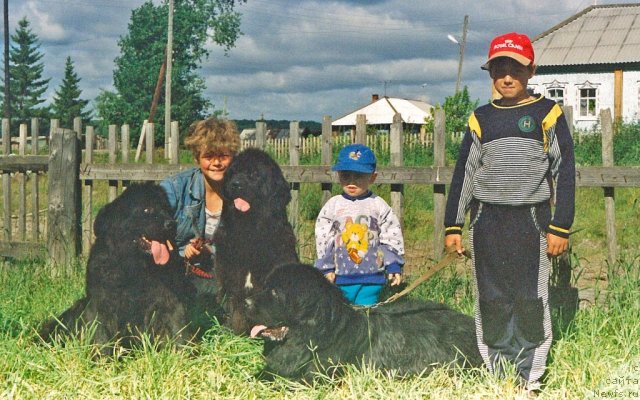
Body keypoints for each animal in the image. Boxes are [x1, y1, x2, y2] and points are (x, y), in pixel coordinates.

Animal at [38, 181, 195, 354]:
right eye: (147, 209)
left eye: (167, 210)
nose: (171, 224)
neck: (136, 266)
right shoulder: (101, 304)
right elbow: (101, 335)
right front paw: (102, 358)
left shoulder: (169, 301)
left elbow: (178, 328)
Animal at [212, 148, 298, 332]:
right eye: (233, 172)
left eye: (254, 174)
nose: (235, 184)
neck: (250, 230)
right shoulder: (230, 276)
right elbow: (234, 307)